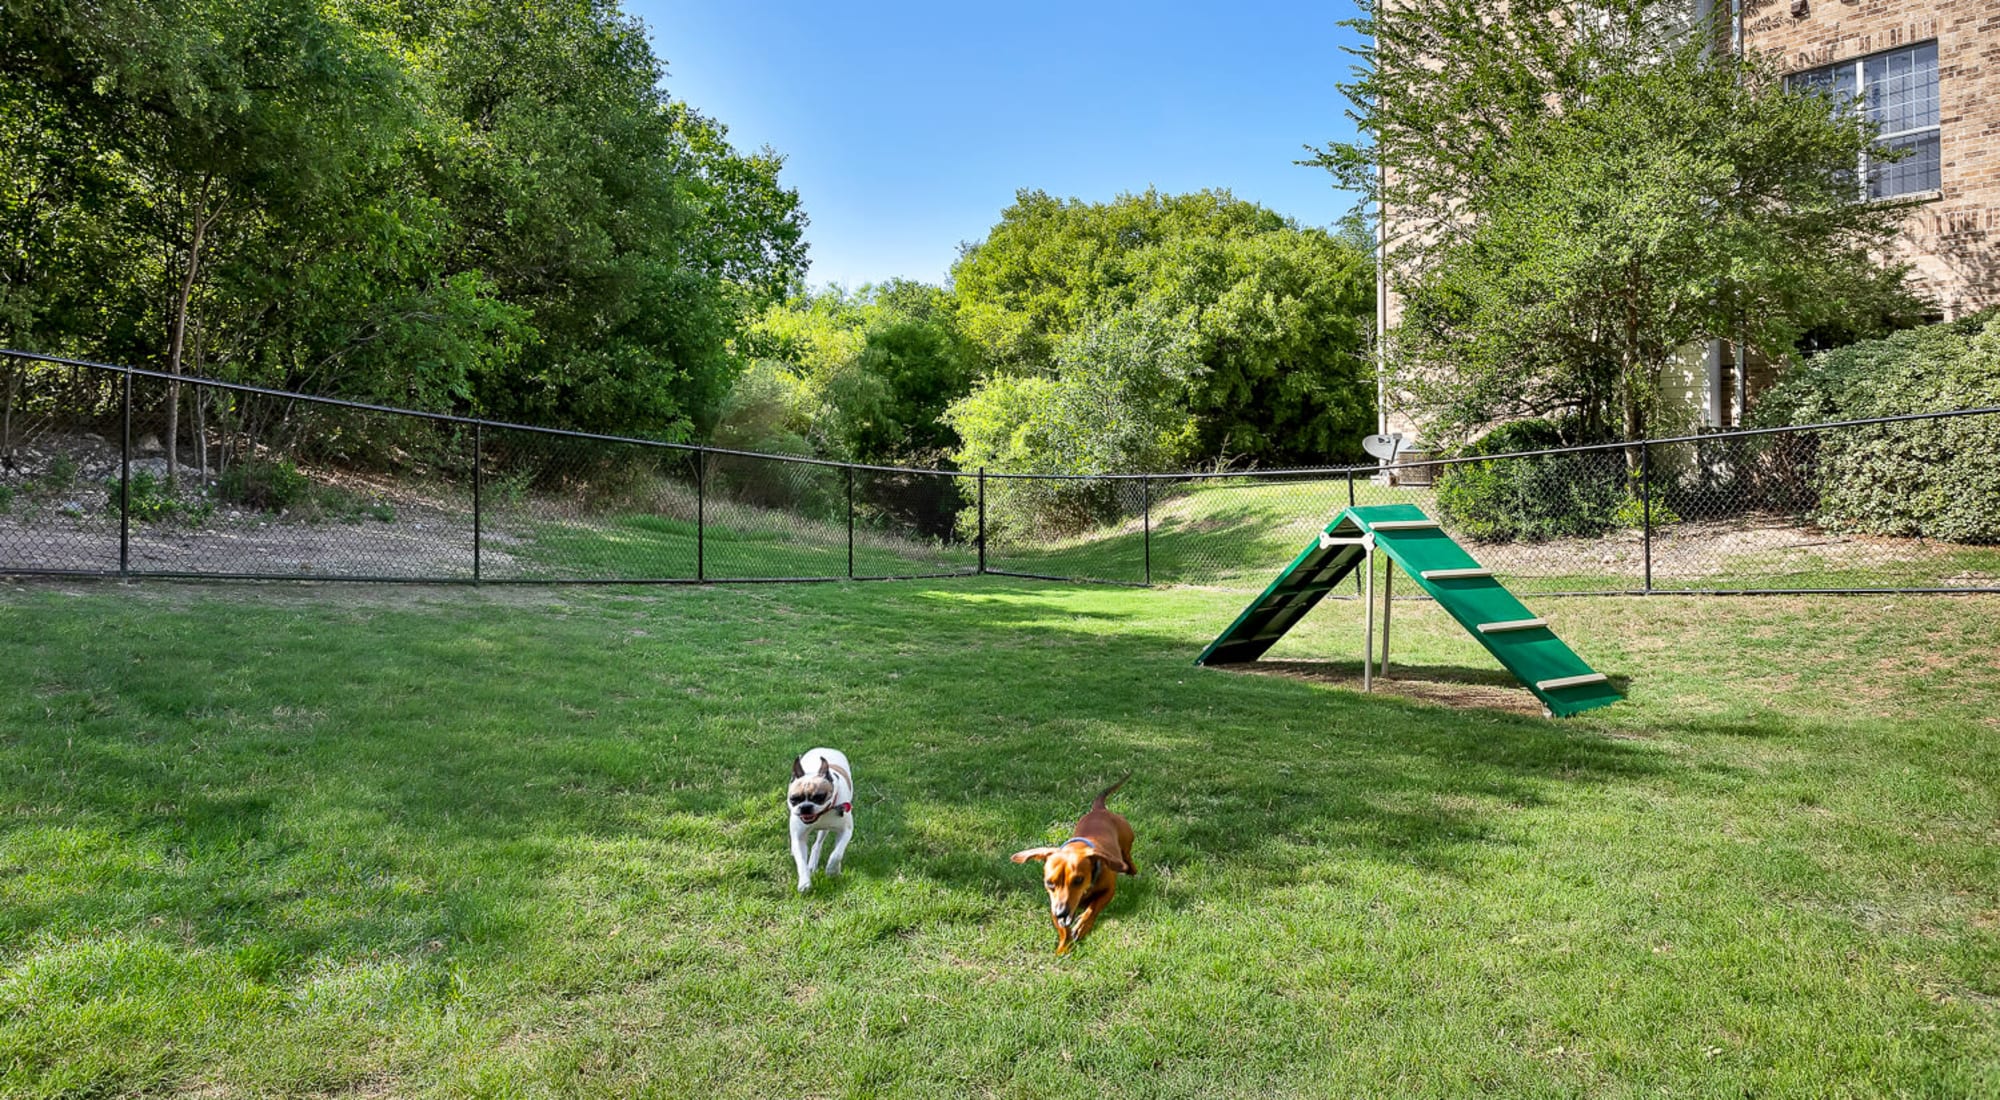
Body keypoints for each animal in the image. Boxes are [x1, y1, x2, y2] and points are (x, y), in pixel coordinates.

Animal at [784, 752, 856, 896]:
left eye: (819, 797)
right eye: (794, 799)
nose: (805, 807)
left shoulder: (846, 831)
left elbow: (837, 854)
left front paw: (832, 870)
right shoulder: (799, 839)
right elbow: (801, 863)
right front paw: (804, 883)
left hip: (826, 830)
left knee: (819, 844)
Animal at [1008, 776, 1136, 956]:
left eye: (1078, 880)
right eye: (1049, 883)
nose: (1061, 913)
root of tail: (1100, 810)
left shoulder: (1109, 891)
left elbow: (1094, 906)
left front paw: (1082, 925)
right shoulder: (1055, 904)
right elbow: (1063, 930)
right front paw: (1063, 946)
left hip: (1126, 842)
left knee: (1127, 858)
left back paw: (1130, 869)